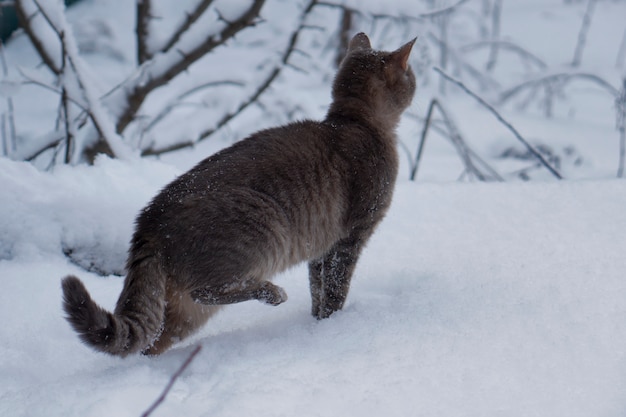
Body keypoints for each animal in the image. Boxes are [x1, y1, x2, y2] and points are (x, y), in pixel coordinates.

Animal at [59, 32, 414, 354]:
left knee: (151, 341)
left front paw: (319, 322)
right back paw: (272, 293)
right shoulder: (352, 236)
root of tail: (149, 222)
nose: (417, 77)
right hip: (263, 233)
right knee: (209, 290)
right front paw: (334, 322)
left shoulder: (321, 248)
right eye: (410, 73)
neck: (355, 122)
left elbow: (318, 288)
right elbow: (337, 286)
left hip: (184, 312)